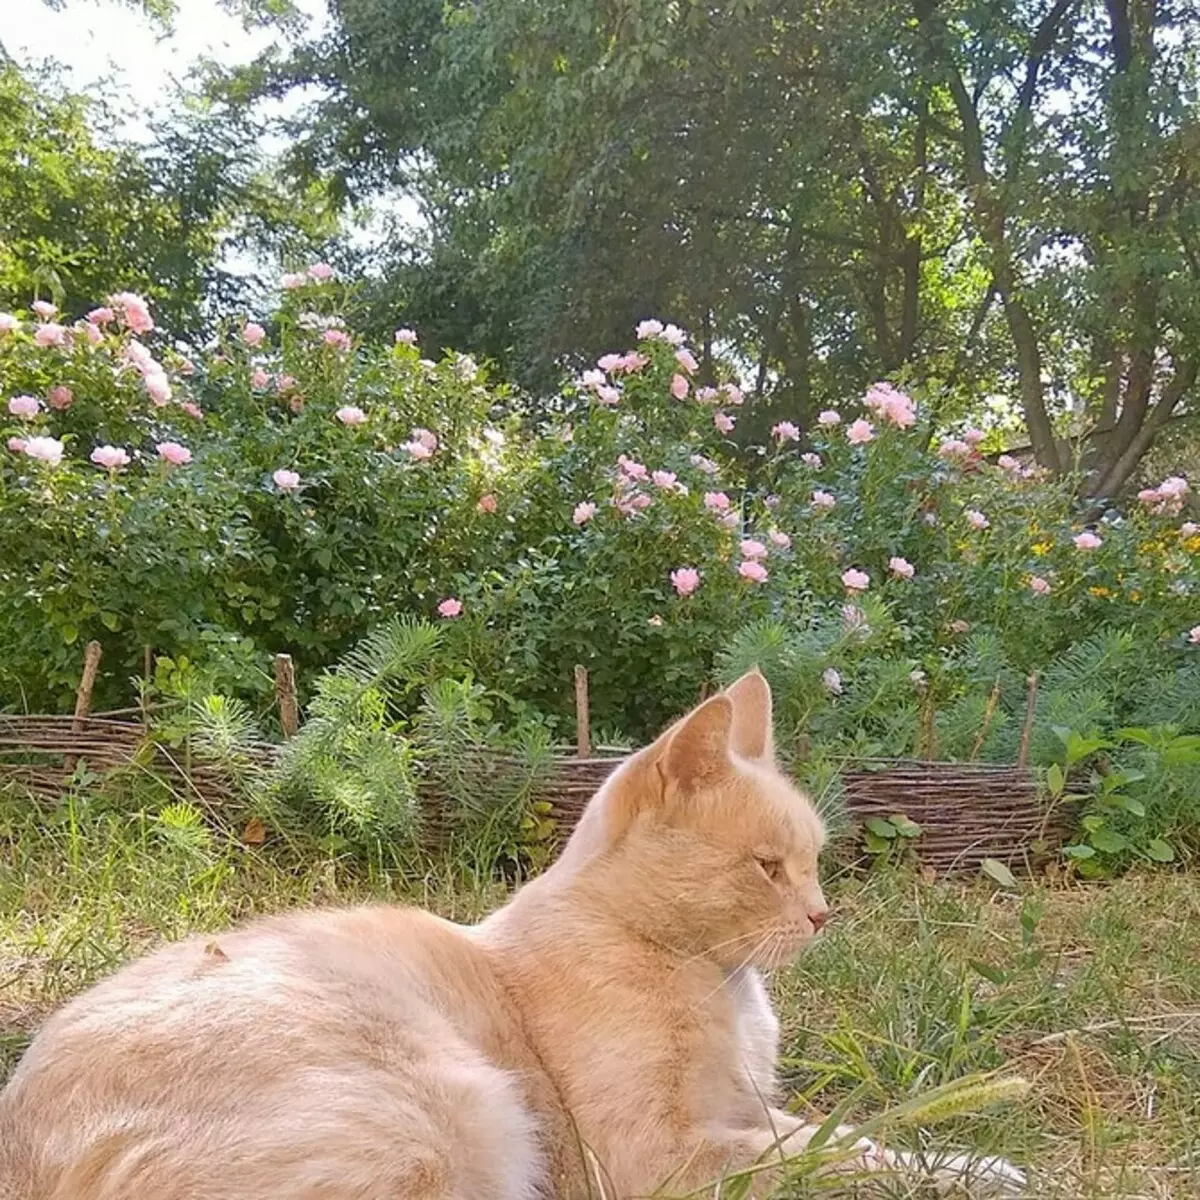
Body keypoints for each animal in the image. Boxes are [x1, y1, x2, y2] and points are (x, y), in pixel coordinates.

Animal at [0, 672, 1022, 1195]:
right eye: (770, 867)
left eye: (814, 862)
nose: (820, 914)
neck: (720, 988)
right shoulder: (660, 1156)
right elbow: (835, 1155)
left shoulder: (744, 1110)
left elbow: (842, 1132)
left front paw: (971, 1159)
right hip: (459, 1112)